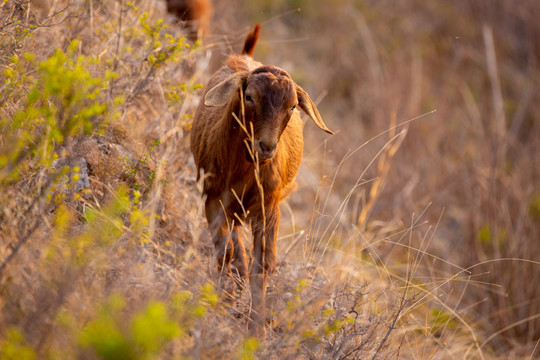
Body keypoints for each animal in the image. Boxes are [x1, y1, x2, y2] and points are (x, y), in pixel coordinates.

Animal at [190, 24, 334, 334]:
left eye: (292, 107)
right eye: (249, 97)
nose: (266, 147)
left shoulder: (269, 206)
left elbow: (264, 263)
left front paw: (256, 325)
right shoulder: (213, 197)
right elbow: (225, 249)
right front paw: (226, 300)